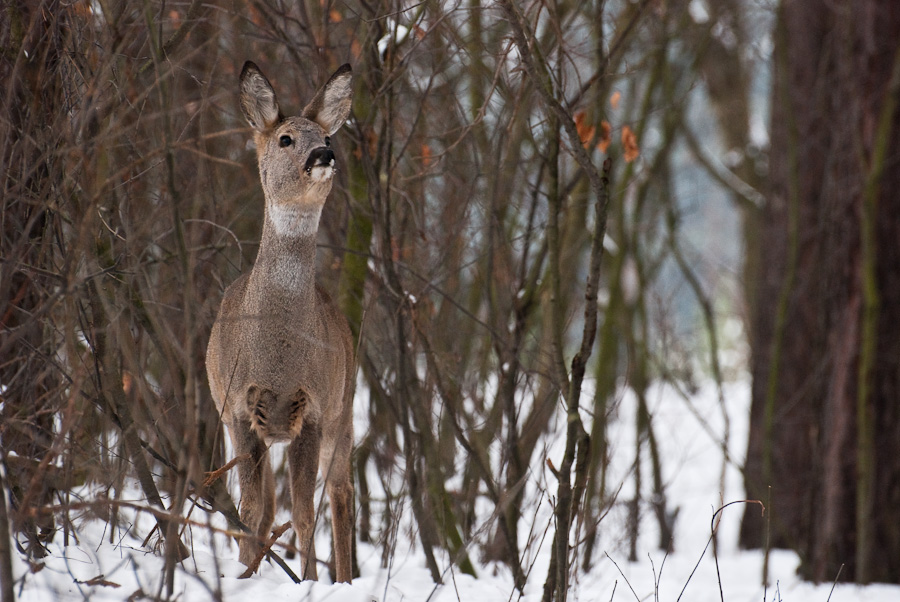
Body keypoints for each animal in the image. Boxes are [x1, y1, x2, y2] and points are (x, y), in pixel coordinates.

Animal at [207, 61, 356, 580]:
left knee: (341, 493)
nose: (324, 153)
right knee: (271, 506)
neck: (278, 356)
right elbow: (252, 509)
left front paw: (309, 581)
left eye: (328, 134)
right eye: (286, 138)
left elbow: (307, 512)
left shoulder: (313, 407)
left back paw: (344, 577)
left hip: (345, 410)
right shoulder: (238, 406)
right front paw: (244, 576)